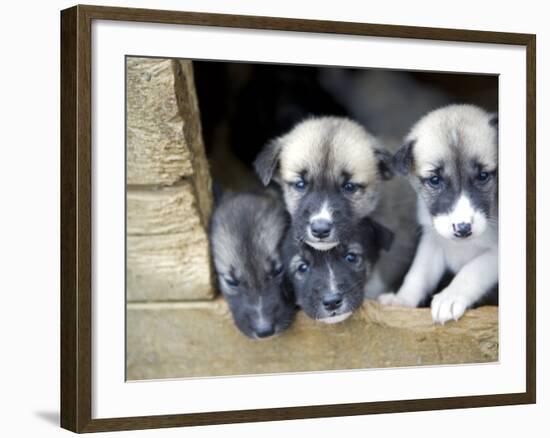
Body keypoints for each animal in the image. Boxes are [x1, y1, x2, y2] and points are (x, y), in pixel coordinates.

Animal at [380, 104, 500, 324]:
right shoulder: (433, 241)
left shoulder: (495, 254)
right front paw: (402, 299)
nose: (463, 229)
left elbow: (472, 270)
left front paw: (450, 297)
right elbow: (418, 273)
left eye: (483, 176)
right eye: (435, 180)